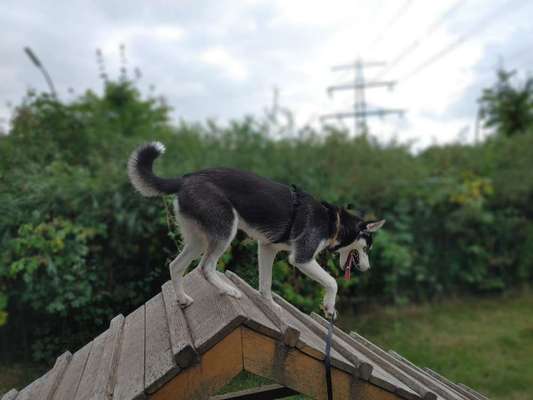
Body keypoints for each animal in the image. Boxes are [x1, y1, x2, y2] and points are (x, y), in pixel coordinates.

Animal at [127, 141, 384, 318]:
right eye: (367, 248)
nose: (368, 268)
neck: (333, 221)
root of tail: (185, 178)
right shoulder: (302, 258)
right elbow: (332, 282)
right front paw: (330, 307)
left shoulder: (267, 248)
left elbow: (265, 285)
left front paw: (270, 306)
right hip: (225, 231)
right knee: (205, 268)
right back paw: (229, 291)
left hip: (198, 239)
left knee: (175, 265)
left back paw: (182, 299)